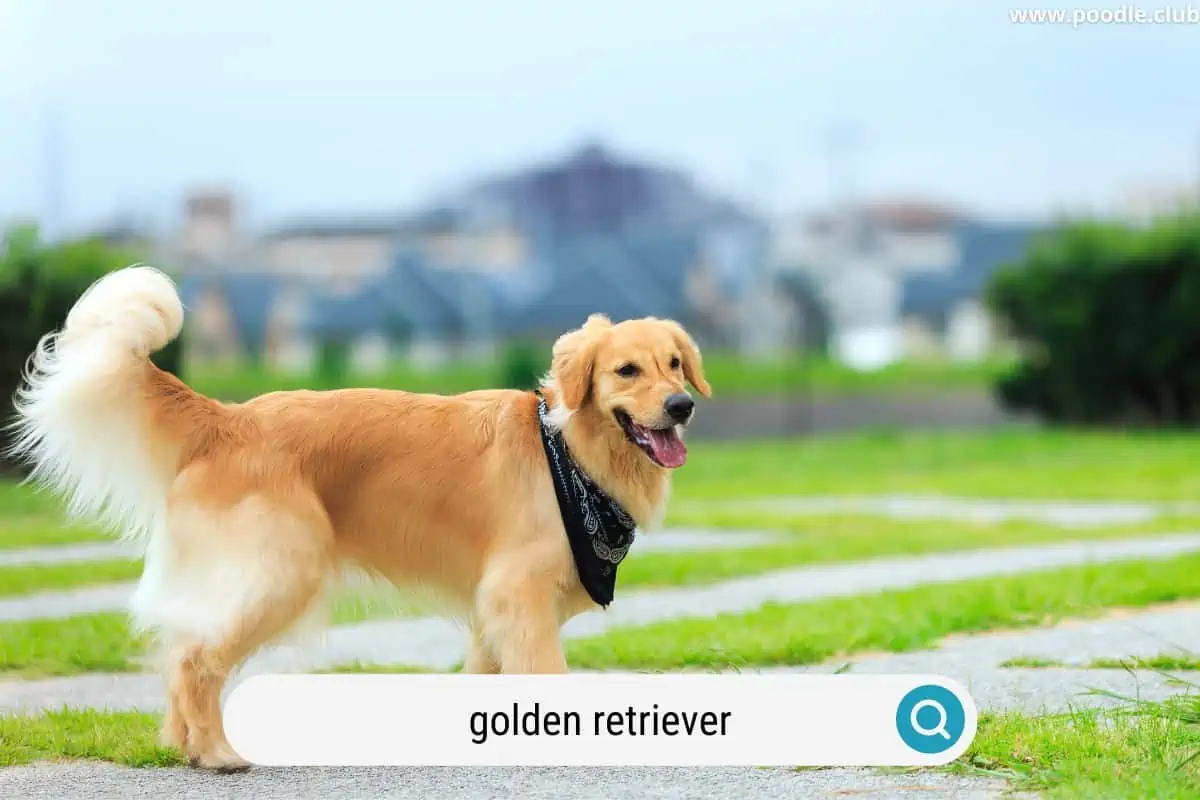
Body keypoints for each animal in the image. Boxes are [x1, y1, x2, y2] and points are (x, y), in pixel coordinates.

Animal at [7, 266, 700, 772]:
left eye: (674, 364)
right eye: (626, 370)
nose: (682, 405)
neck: (571, 452)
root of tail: (227, 419)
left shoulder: (494, 608)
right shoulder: (518, 594)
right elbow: (547, 677)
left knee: (181, 650)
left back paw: (187, 749)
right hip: (283, 572)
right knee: (194, 660)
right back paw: (220, 752)